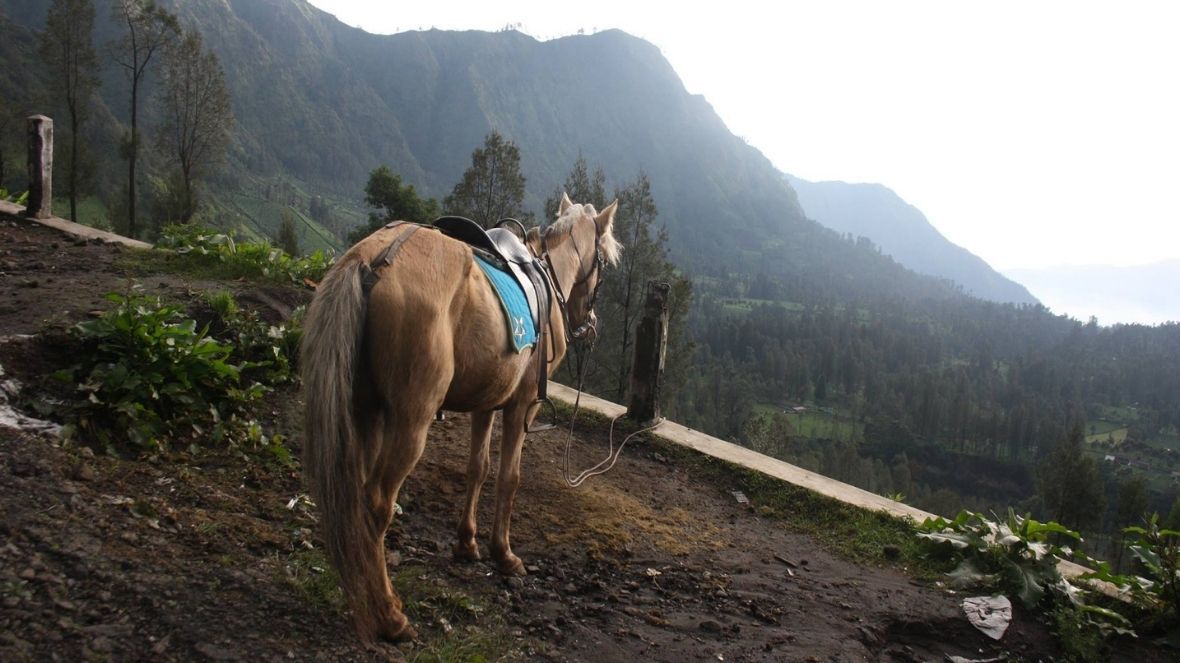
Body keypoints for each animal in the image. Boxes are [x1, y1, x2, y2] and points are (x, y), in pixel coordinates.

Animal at [299, 193, 623, 637]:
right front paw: (503, 553)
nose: (588, 323)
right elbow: (508, 478)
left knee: (355, 496)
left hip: (365, 410)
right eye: (604, 261)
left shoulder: (486, 403)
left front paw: (467, 542)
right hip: (409, 422)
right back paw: (390, 615)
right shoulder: (522, 406)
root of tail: (371, 260)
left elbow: (478, 468)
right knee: (377, 503)